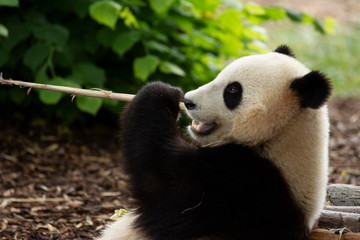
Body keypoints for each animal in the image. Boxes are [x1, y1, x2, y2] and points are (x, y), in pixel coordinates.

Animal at [97, 45, 332, 240]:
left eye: (232, 91)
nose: (188, 101)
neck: (281, 136)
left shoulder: (242, 186)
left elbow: (162, 178)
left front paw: (160, 92)